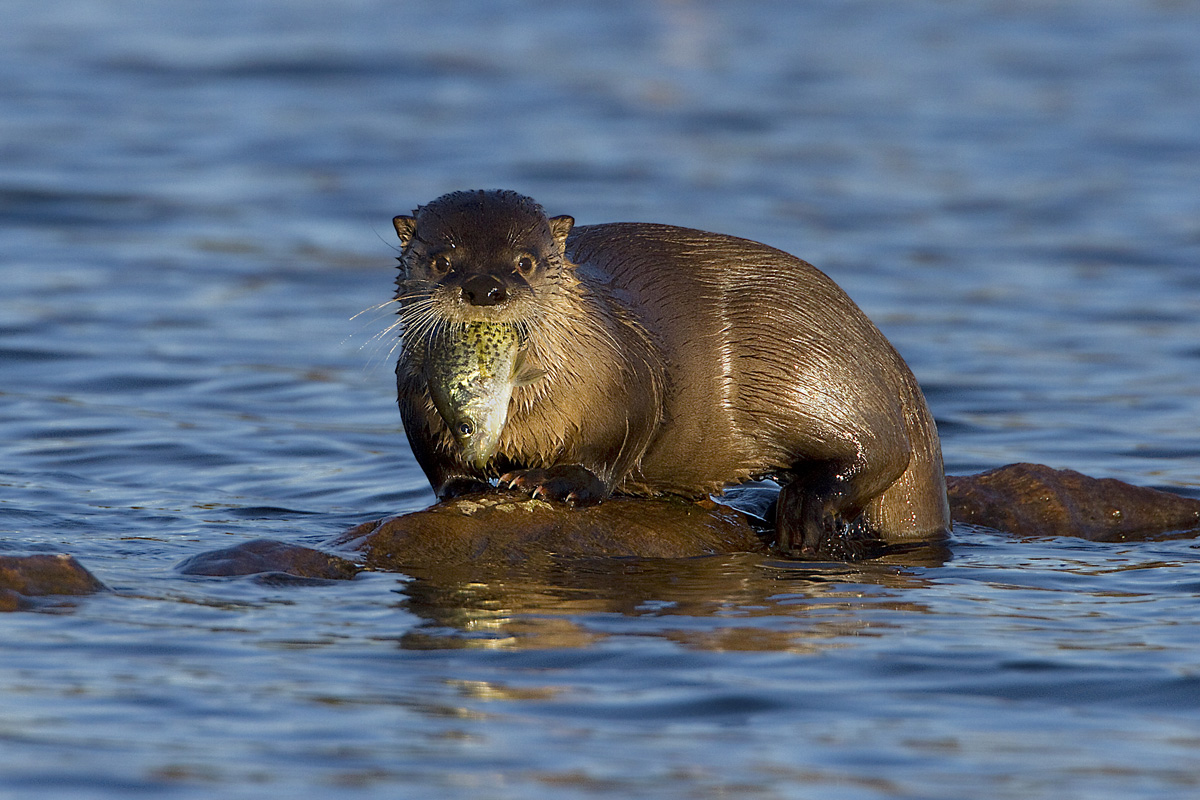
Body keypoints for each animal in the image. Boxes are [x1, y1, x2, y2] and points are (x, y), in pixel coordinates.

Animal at [392, 190, 950, 556]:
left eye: (525, 262)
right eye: (442, 261)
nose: (484, 288)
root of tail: (892, 363)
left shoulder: (626, 378)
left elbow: (614, 444)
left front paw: (559, 481)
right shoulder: (413, 394)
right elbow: (434, 458)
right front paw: (466, 487)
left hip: (815, 369)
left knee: (881, 453)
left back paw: (800, 511)